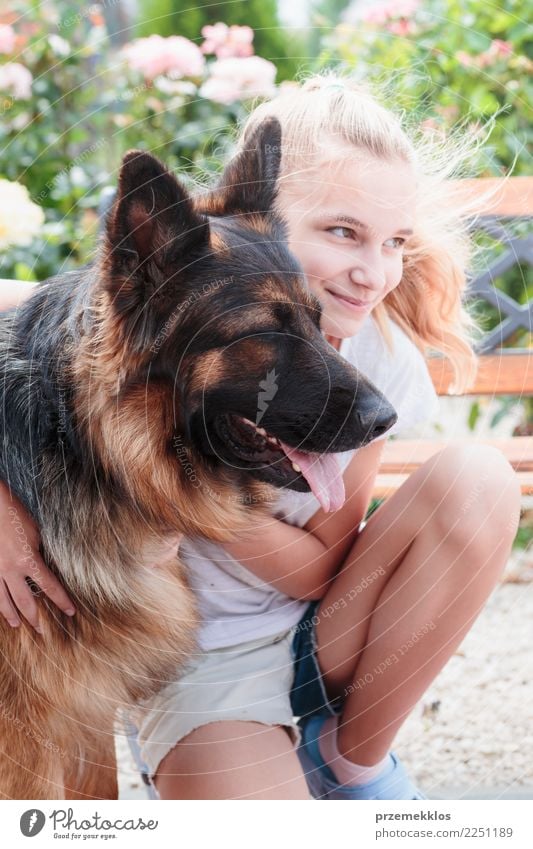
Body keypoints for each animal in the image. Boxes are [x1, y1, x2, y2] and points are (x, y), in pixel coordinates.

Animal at [0, 116, 394, 800]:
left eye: (317, 321)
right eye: (265, 331)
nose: (386, 419)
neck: (78, 450)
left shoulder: (79, 713)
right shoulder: (31, 726)